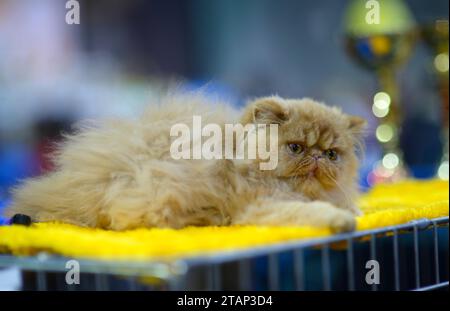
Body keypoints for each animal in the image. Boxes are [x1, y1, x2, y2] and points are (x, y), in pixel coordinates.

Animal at [6, 95, 366, 234]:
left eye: (332, 154)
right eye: (295, 147)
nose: (316, 157)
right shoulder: (261, 205)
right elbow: (311, 212)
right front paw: (341, 219)